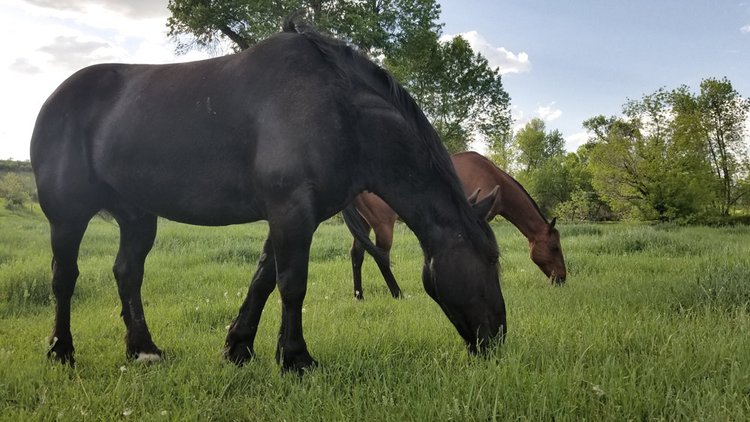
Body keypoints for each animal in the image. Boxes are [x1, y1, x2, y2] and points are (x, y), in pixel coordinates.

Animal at [30, 16, 505, 373]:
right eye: (491, 259)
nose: (498, 338)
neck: (339, 110)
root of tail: (56, 97)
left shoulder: (294, 214)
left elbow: (263, 279)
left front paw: (239, 348)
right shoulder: (291, 211)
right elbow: (293, 284)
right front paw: (295, 358)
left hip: (137, 216)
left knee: (128, 272)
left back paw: (144, 350)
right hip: (67, 215)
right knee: (64, 277)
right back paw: (61, 351)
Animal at [345, 151, 566, 300]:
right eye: (555, 247)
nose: (562, 278)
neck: (494, 178)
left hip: (364, 225)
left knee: (357, 254)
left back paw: (359, 296)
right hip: (383, 225)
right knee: (381, 256)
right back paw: (397, 293)